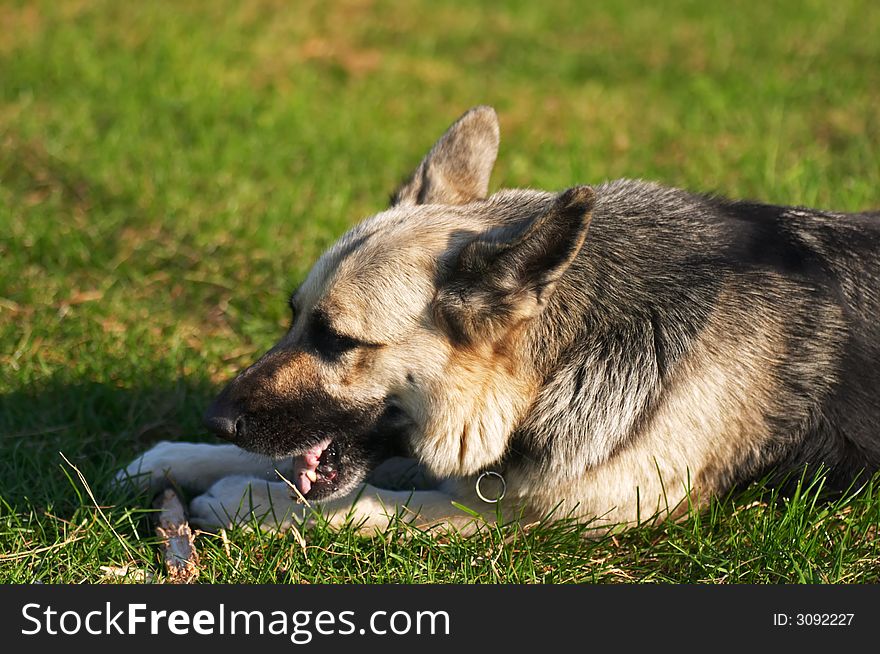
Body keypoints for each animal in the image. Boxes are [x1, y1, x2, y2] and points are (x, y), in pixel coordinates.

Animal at [120, 107, 880, 536]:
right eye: (293, 318)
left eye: (338, 340)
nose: (216, 418)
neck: (557, 364)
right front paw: (181, 458)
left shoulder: (548, 516)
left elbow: (375, 503)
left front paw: (253, 504)